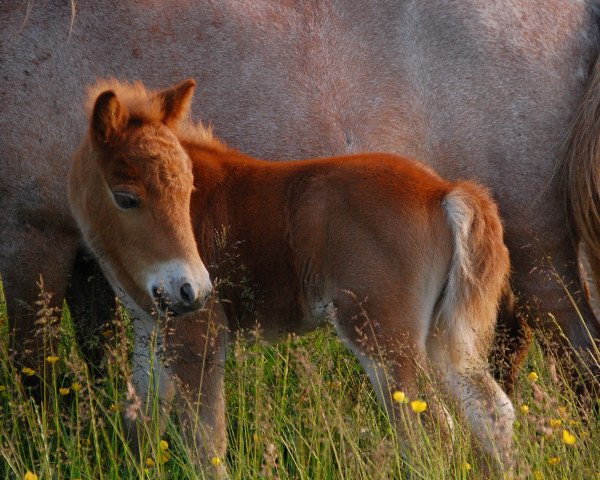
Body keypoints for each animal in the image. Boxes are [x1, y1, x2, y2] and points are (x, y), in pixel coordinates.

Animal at [1, 2, 600, 398]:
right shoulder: (88, 256)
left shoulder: (29, 239)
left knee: (580, 354)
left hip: (539, 250)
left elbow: (38, 373)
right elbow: (96, 363)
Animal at [68, 78, 512, 472]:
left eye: (189, 188)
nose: (193, 290)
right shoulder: (152, 331)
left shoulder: (198, 338)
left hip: (382, 336)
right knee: (493, 412)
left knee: (432, 430)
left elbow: (206, 446)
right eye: (127, 198)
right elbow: (141, 424)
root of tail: (443, 191)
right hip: (439, 337)